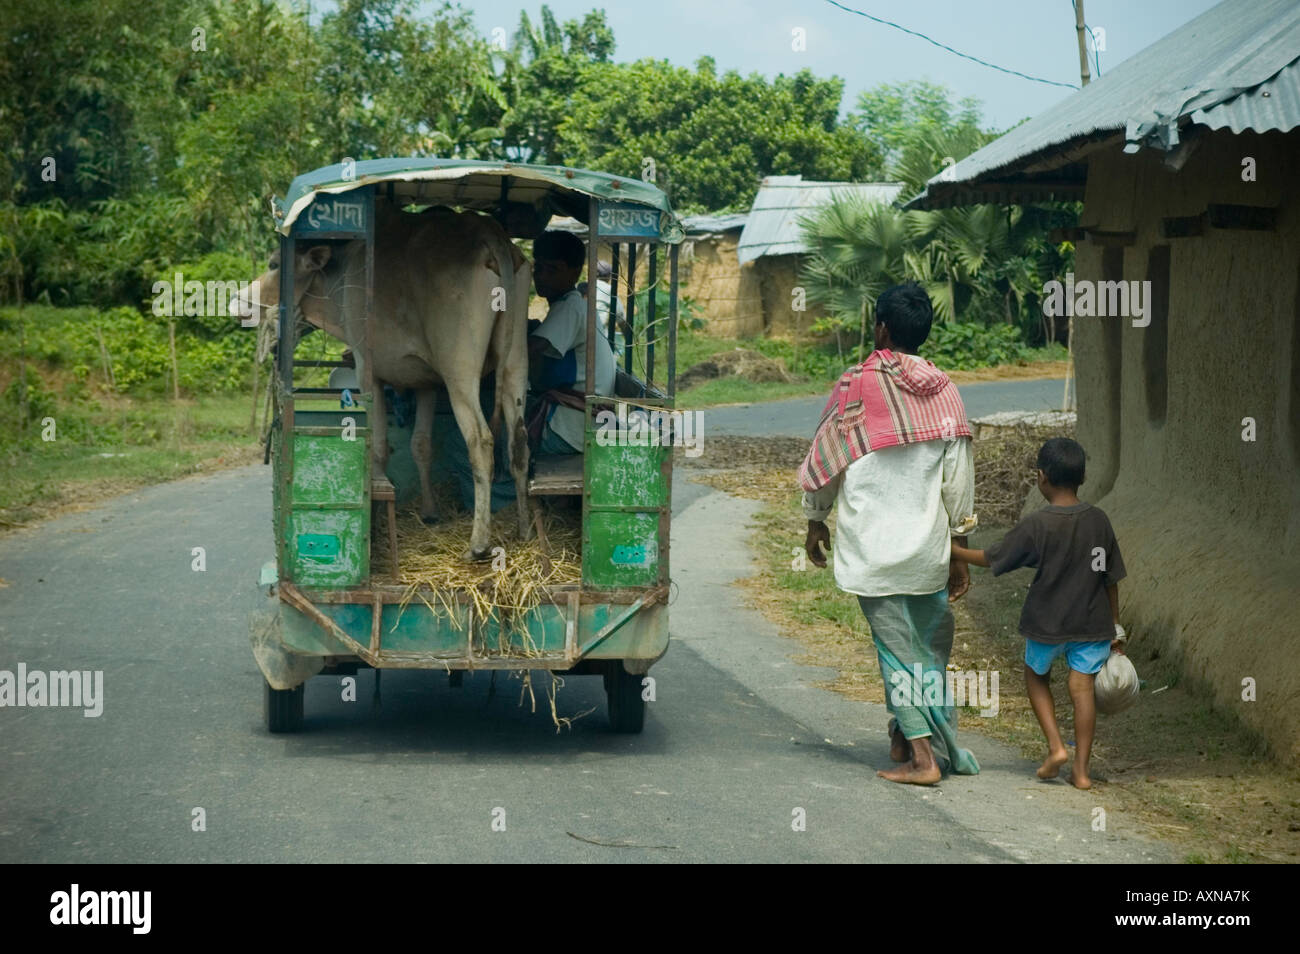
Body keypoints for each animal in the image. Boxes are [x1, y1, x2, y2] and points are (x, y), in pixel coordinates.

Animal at [245, 201, 530, 561]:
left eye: (273, 264)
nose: (241, 303)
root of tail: (490, 234)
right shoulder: (426, 382)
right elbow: (421, 445)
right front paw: (430, 512)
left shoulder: (368, 371)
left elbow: (378, 445)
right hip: (515, 362)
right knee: (519, 440)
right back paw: (523, 528)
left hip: (459, 370)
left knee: (480, 440)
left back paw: (478, 543)